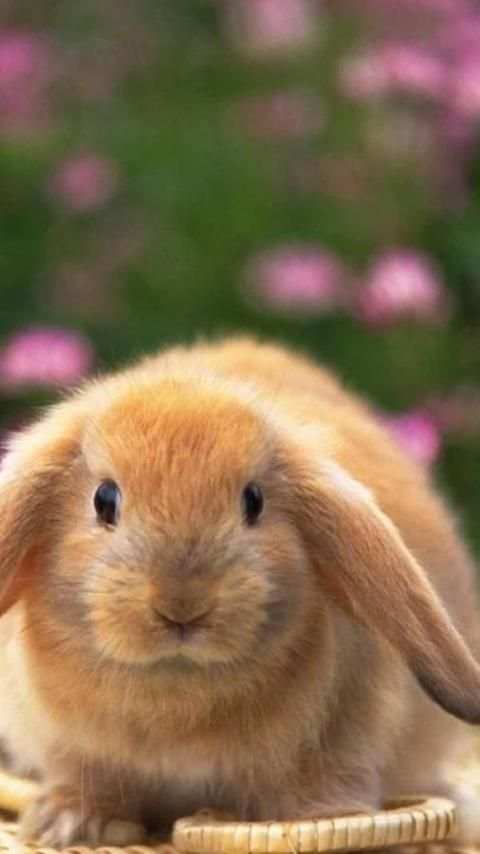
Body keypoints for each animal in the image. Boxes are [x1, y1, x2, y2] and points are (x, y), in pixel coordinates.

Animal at [0, 335, 479, 848]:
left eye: (254, 501)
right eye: (104, 499)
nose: (182, 604)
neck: (176, 691)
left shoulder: (343, 733)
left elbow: (327, 779)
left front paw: (322, 818)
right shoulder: (70, 747)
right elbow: (85, 775)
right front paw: (74, 823)